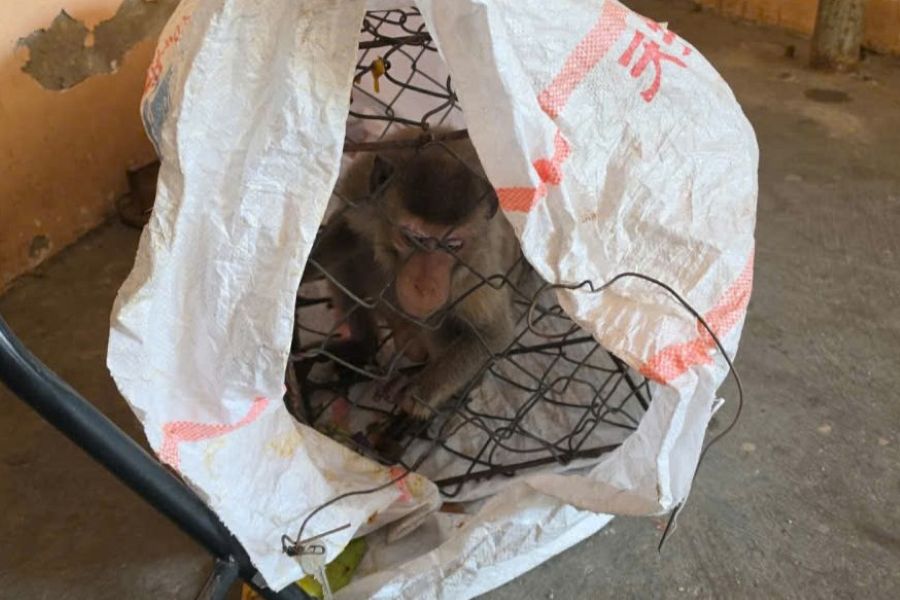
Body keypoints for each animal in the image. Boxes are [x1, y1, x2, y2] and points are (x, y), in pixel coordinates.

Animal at [300, 129, 521, 430]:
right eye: (411, 237)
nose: (424, 286)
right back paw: (362, 346)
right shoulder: (367, 204)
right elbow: (346, 229)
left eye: (452, 245)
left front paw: (418, 391)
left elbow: (493, 333)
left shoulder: (480, 269)